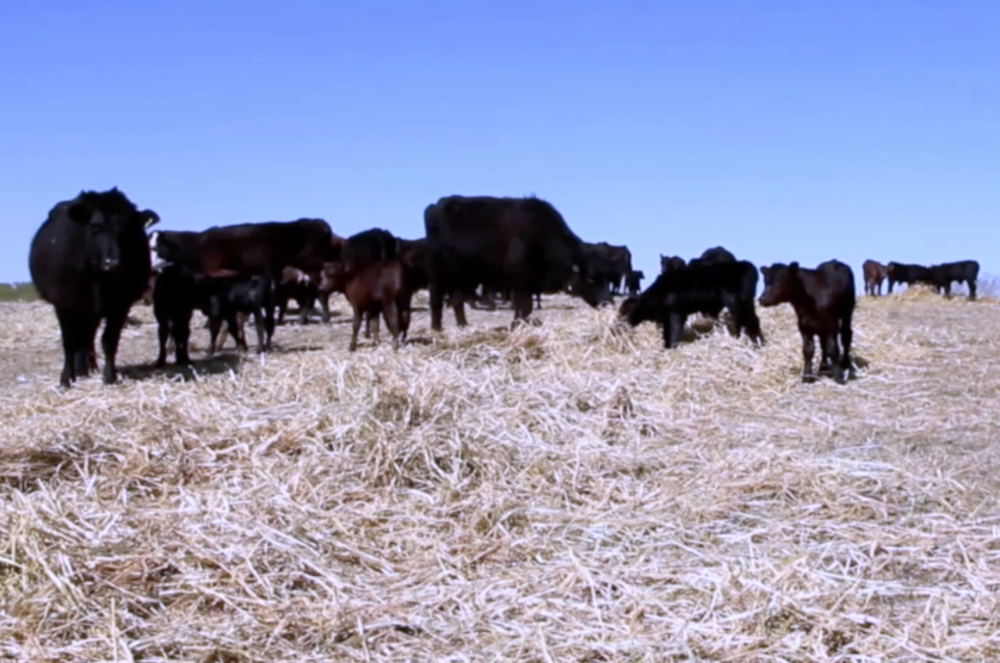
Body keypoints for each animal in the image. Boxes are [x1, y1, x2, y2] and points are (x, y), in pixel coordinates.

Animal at [28, 188, 160, 387]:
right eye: (95, 227)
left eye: (127, 230)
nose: (112, 263)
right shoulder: (64, 303)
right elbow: (69, 342)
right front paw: (66, 379)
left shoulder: (121, 305)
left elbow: (109, 340)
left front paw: (109, 376)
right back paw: (81, 369)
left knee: (87, 336)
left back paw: (88, 367)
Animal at [149, 218, 344, 347]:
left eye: (155, 248)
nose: (148, 266)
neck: (198, 247)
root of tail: (318, 222)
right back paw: (304, 318)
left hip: (313, 268)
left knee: (320, 293)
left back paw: (322, 318)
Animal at [423, 195, 614, 330]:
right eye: (591, 278)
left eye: (607, 278)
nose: (608, 303)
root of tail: (436, 205)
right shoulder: (520, 278)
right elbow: (525, 304)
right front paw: (520, 324)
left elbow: (522, 305)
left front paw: (518, 323)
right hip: (439, 270)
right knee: (436, 295)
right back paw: (436, 327)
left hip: (461, 274)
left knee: (457, 300)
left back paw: (462, 325)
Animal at [619, 260, 764, 349]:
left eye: (624, 310)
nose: (619, 324)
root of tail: (745, 265)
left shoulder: (675, 312)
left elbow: (672, 333)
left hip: (736, 302)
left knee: (751, 320)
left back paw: (757, 345)